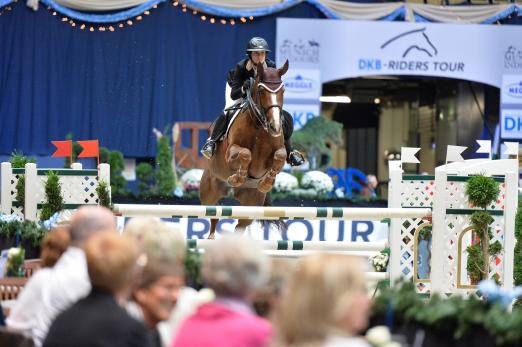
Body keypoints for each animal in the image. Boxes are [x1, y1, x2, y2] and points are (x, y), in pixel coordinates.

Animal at [199, 59, 288, 239]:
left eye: (283, 90)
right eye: (261, 90)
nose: (275, 127)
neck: (259, 126)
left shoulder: (275, 155)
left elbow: (280, 156)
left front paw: (266, 183)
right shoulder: (230, 153)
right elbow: (245, 154)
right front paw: (236, 178)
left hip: (251, 205)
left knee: (240, 226)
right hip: (209, 195)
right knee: (213, 215)